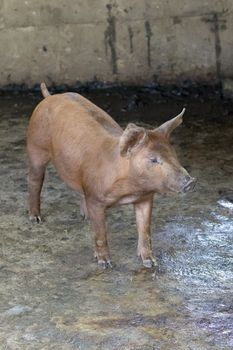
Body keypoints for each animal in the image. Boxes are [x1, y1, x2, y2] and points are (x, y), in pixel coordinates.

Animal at [26, 82, 195, 268]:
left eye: (173, 154)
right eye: (153, 159)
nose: (190, 181)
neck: (130, 190)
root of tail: (50, 97)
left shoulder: (145, 198)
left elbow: (145, 229)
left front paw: (151, 263)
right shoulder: (95, 197)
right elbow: (100, 233)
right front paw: (105, 264)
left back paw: (85, 217)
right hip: (35, 146)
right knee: (34, 180)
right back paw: (36, 218)